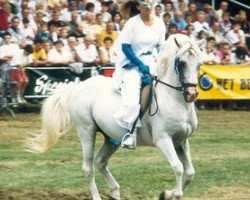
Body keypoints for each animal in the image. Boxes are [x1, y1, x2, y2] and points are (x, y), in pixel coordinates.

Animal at [27, 33, 203, 199]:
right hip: (87, 132)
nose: (191, 94)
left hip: (111, 138)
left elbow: (190, 172)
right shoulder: (163, 139)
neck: (174, 100)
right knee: (88, 167)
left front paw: (166, 193)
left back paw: (115, 191)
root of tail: (78, 88)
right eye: (182, 63)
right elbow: (178, 168)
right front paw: (169, 194)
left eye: (199, 64)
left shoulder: (181, 141)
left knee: (100, 161)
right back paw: (98, 196)